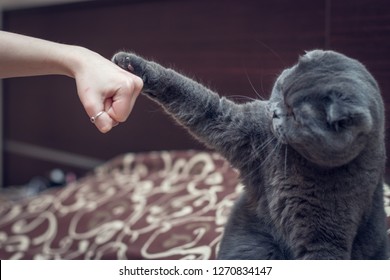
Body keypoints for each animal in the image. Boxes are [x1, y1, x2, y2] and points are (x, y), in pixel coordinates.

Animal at [112, 49, 386, 260]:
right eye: (281, 88)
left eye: (296, 115)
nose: (273, 112)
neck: (294, 158)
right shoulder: (243, 128)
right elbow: (194, 98)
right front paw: (130, 64)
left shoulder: (327, 237)